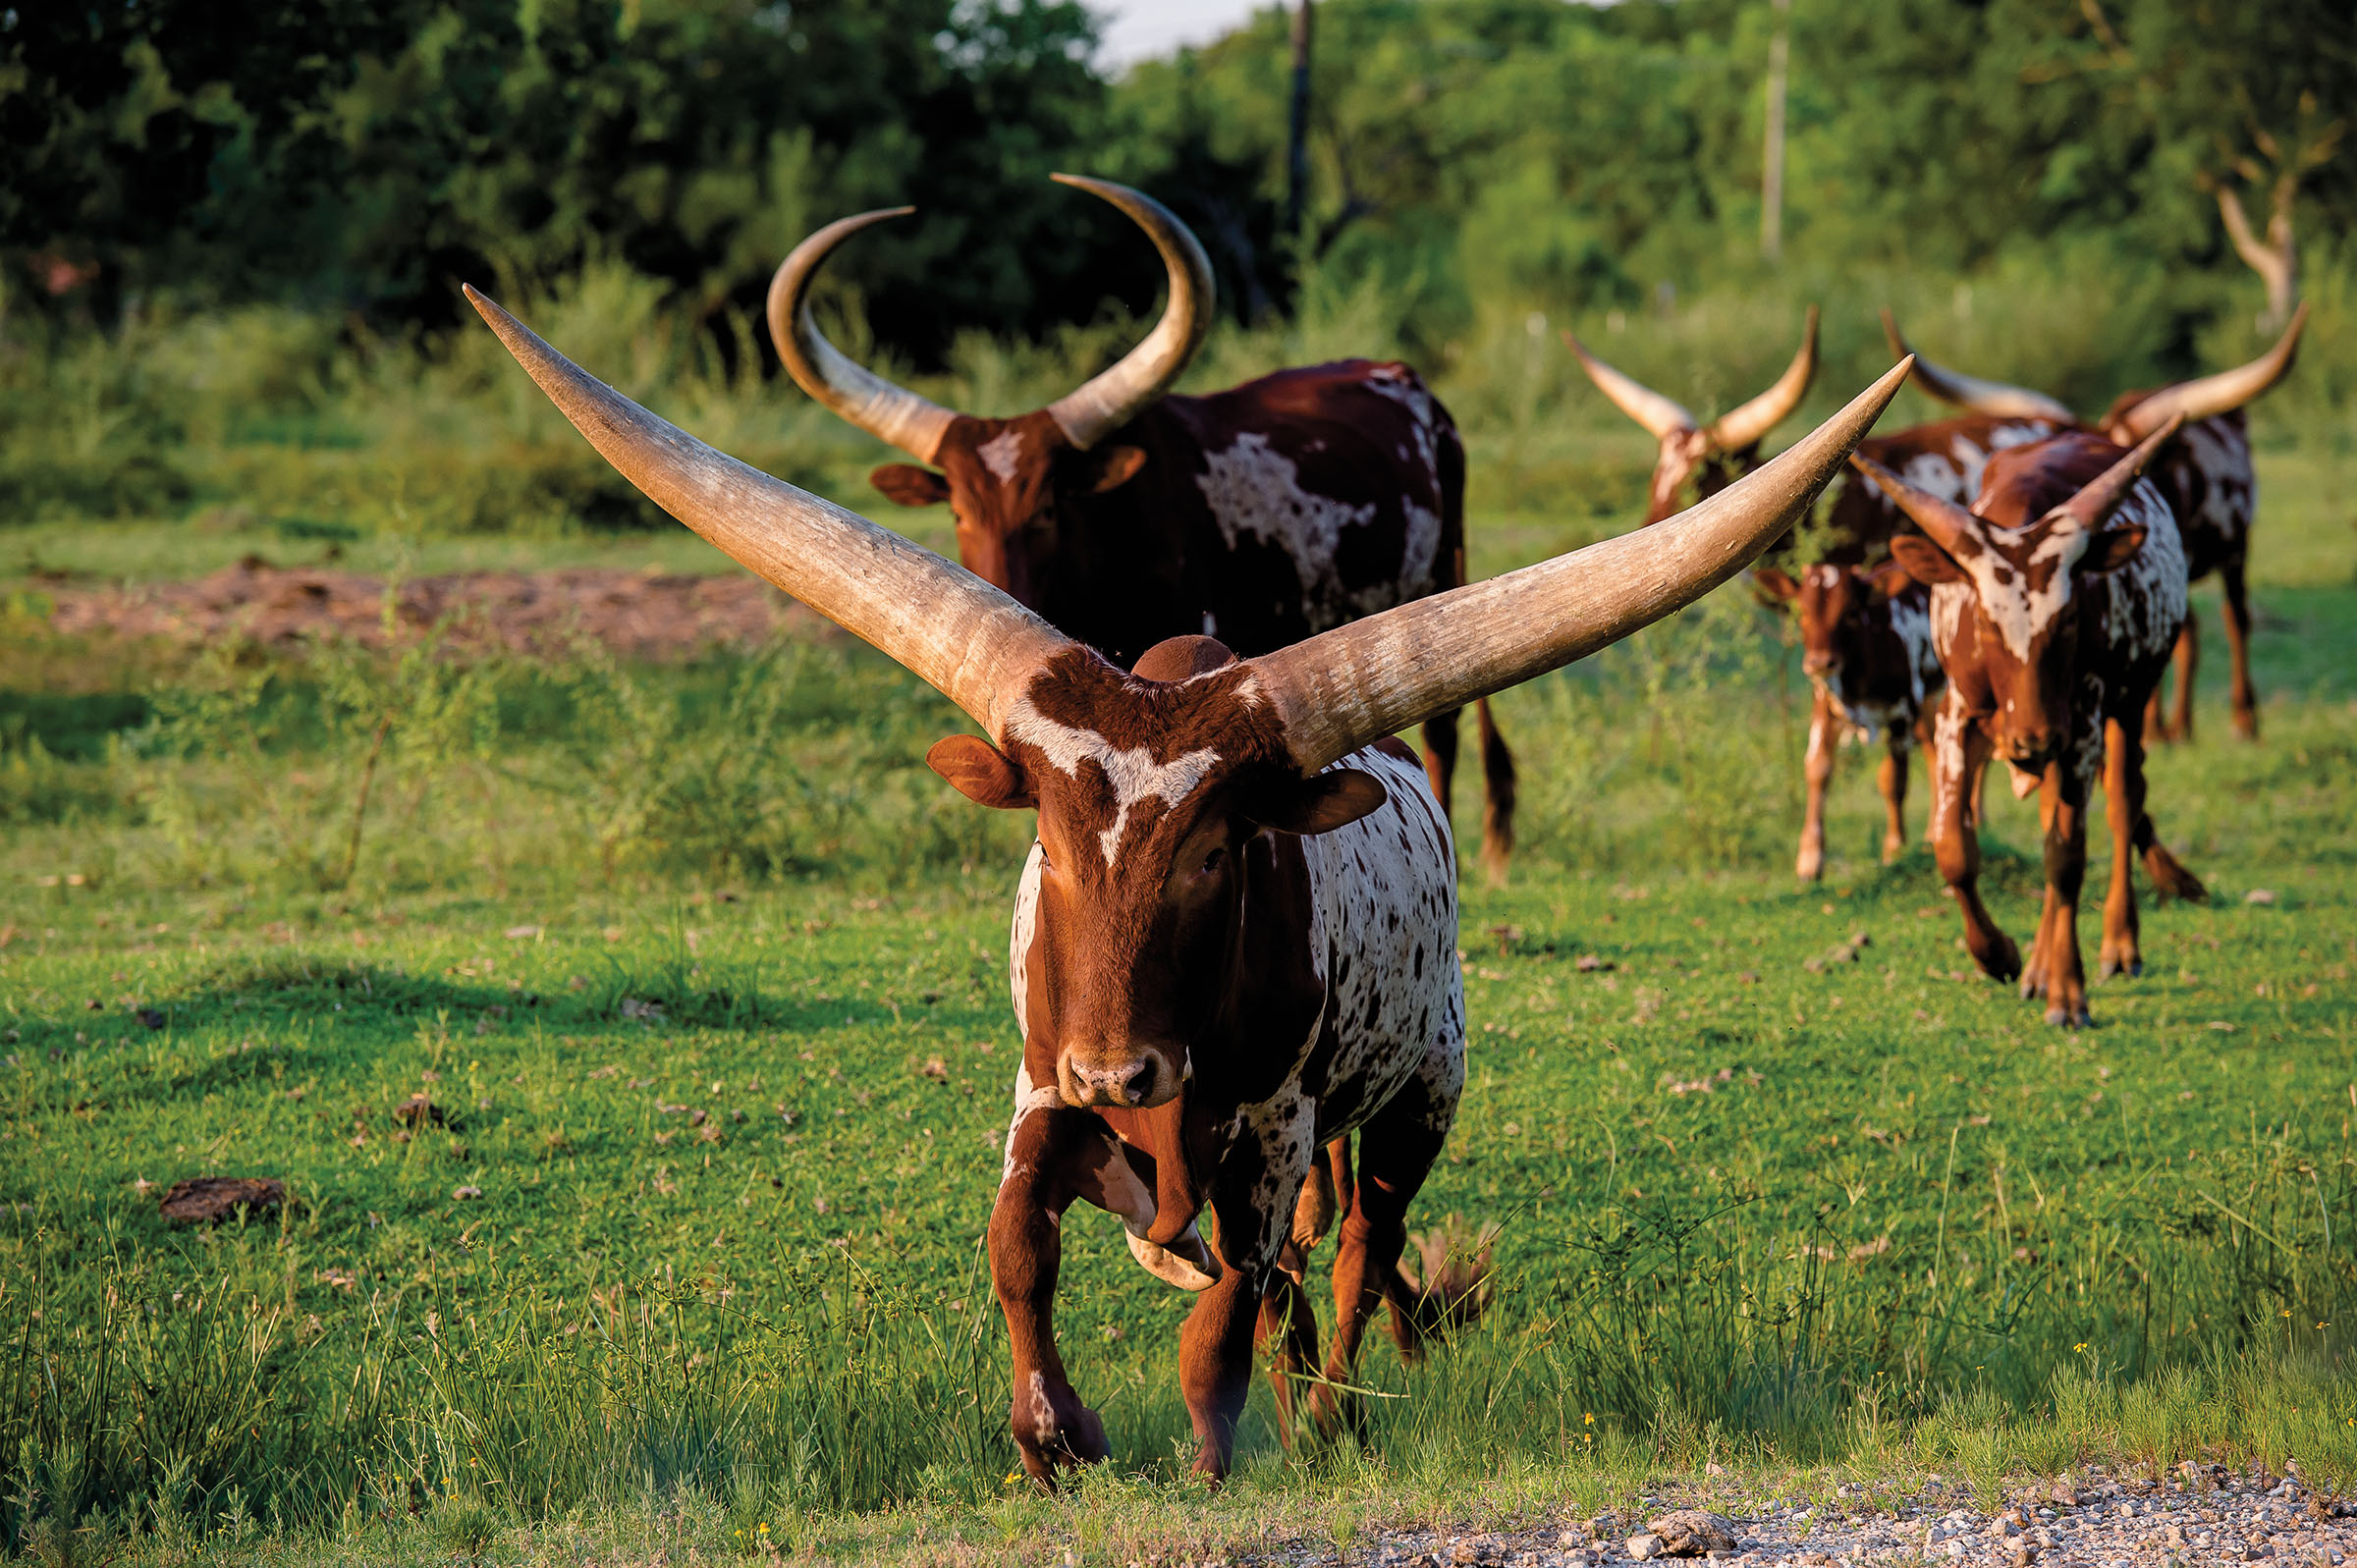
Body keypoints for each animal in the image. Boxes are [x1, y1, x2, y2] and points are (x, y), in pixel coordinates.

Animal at [468, 284, 1923, 1481]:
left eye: (1218, 852)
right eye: (1050, 839)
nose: (1126, 1073)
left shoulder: (1272, 1133)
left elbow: (1229, 1310)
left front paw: (1223, 1449)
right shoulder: (1039, 1081)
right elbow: (1018, 1241)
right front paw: (1053, 1432)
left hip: (1420, 1089)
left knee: (1356, 1248)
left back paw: (1328, 1414)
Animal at [763, 180, 1517, 882]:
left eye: (1047, 510)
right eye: (958, 513)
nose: (1002, 585)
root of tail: (1405, 378)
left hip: (1439, 580)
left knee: (1444, 734)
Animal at [1857, 419, 2206, 1028]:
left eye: (2067, 620)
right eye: (1985, 622)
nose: (2032, 739)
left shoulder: (2081, 726)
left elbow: (2066, 859)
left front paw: (2067, 991)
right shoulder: (1956, 713)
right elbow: (1953, 846)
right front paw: (1999, 955)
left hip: (2131, 701)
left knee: (2122, 805)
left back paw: (2118, 944)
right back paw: (2038, 967)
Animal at [1886, 308, 2310, 749]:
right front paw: (2158, 728)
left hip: (2236, 547)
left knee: (2235, 617)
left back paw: (2243, 719)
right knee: (2194, 629)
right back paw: (2177, 724)